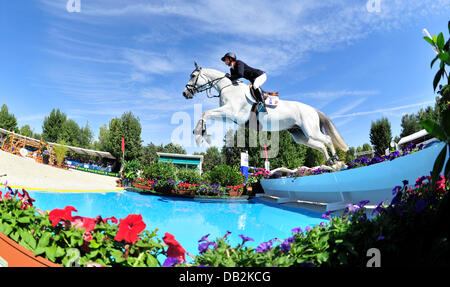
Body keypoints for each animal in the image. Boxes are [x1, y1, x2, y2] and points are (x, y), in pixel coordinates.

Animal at [182, 63, 348, 166]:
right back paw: (331, 164)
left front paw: (200, 134)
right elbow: (206, 114)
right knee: (320, 145)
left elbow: (205, 113)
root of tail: (313, 109)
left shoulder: (232, 112)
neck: (227, 87)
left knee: (327, 140)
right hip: (300, 135)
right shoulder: (228, 116)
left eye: (193, 75)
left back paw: (336, 160)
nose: (185, 93)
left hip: (310, 130)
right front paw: (201, 133)